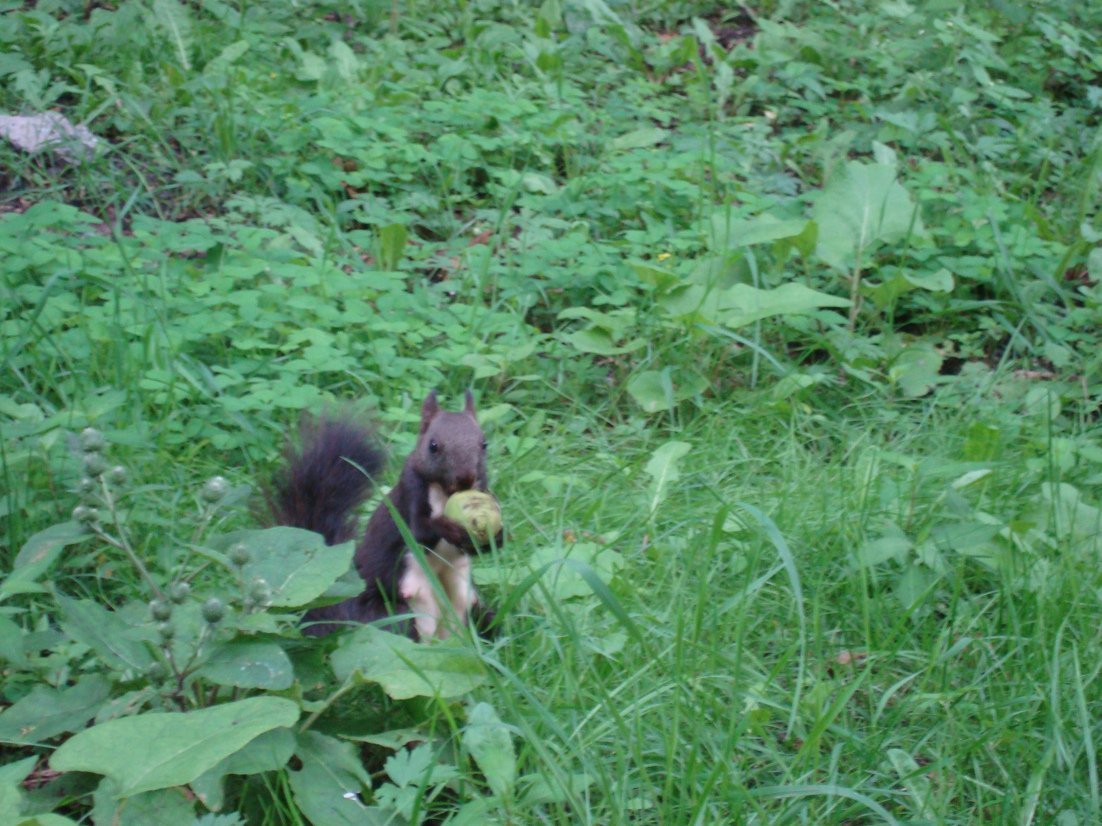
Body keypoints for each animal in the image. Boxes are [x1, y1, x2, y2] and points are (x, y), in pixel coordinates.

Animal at [268, 392, 502, 638]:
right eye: (433, 446)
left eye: (484, 444)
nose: (466, 478)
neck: (445, 492)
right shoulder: (410, 491)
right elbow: (420, 532)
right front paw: (454, 529)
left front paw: (495, 536)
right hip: (391, 616)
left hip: (474, 610)